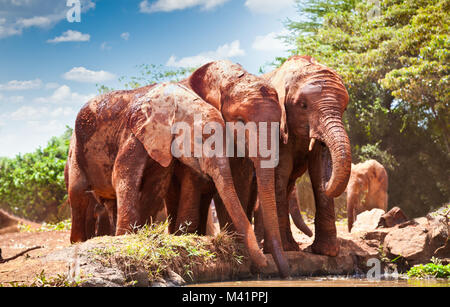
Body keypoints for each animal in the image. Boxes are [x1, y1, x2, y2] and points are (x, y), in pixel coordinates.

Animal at [66, 81, 268, 270]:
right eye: (200, 139)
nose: (265, 263)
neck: (176, 104)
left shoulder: (162, 144)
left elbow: (156, 185)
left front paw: (141, 235)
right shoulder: (134, 133)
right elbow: (123, 176)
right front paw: (127, 238)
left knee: (109, 202)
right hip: (75, 149)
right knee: (78, 194)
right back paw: (79, 241)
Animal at [258, 56, 354, 258]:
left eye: (344, 109)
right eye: (303, 106)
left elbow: (319, 167)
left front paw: (325, 251)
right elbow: (280, 171)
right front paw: (286, 250)